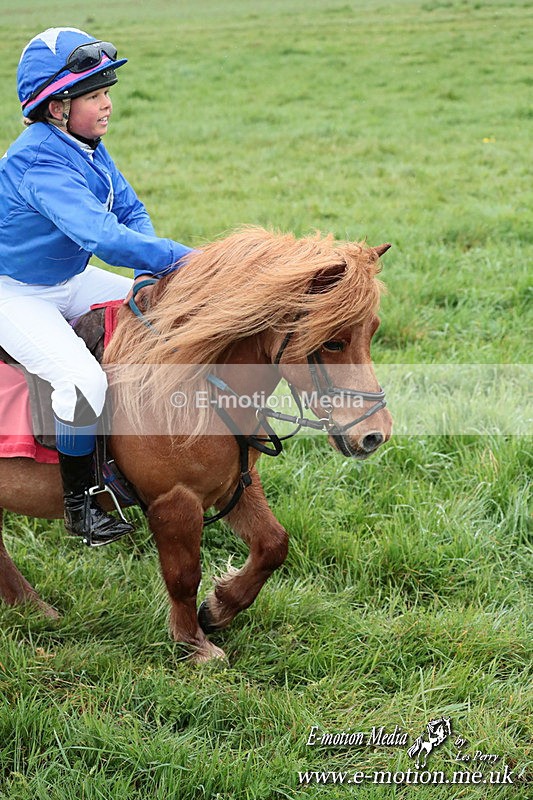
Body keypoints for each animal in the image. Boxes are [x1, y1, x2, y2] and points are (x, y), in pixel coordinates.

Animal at [0, 226, 392, 662]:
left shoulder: (235, 483)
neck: (192, 382)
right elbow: (184, 575)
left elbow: (273, 544)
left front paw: (219, 608)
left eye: (372, 331)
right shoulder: (175, 501)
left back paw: (34, 609)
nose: (373, 434)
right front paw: (194, 644)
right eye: (333, 343)